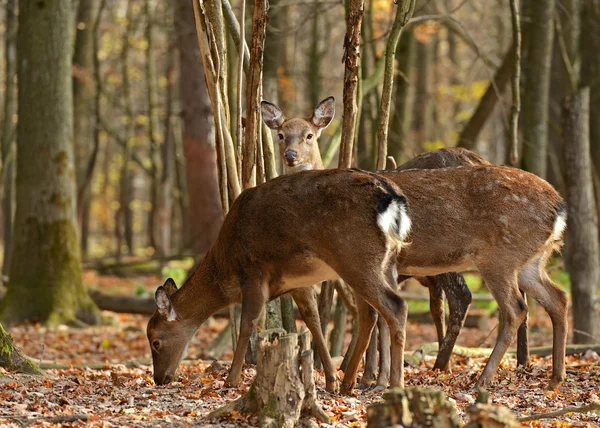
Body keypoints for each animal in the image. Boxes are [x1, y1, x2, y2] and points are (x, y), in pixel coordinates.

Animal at [148, 168, 414, 394]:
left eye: (155, 341)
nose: (159, 379)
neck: (226, 265)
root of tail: (394, 201)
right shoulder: (298, 282)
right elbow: (313, 321)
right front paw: (331, 380)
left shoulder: (253, 272)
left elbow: (248, 324)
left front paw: (230, 380)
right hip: (383, 263)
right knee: (369, 314)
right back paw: (348, 383)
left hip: (355, 257)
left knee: (396, 306)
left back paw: (395, 385)